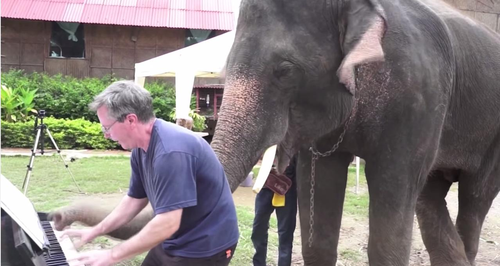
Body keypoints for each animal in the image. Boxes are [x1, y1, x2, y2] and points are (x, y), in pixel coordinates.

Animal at [210, 0, 500, 264]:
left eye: (285, 70)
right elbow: (320, 200)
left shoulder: (416, 99)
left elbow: (391, 195)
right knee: (430, 197)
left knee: (474, 199)